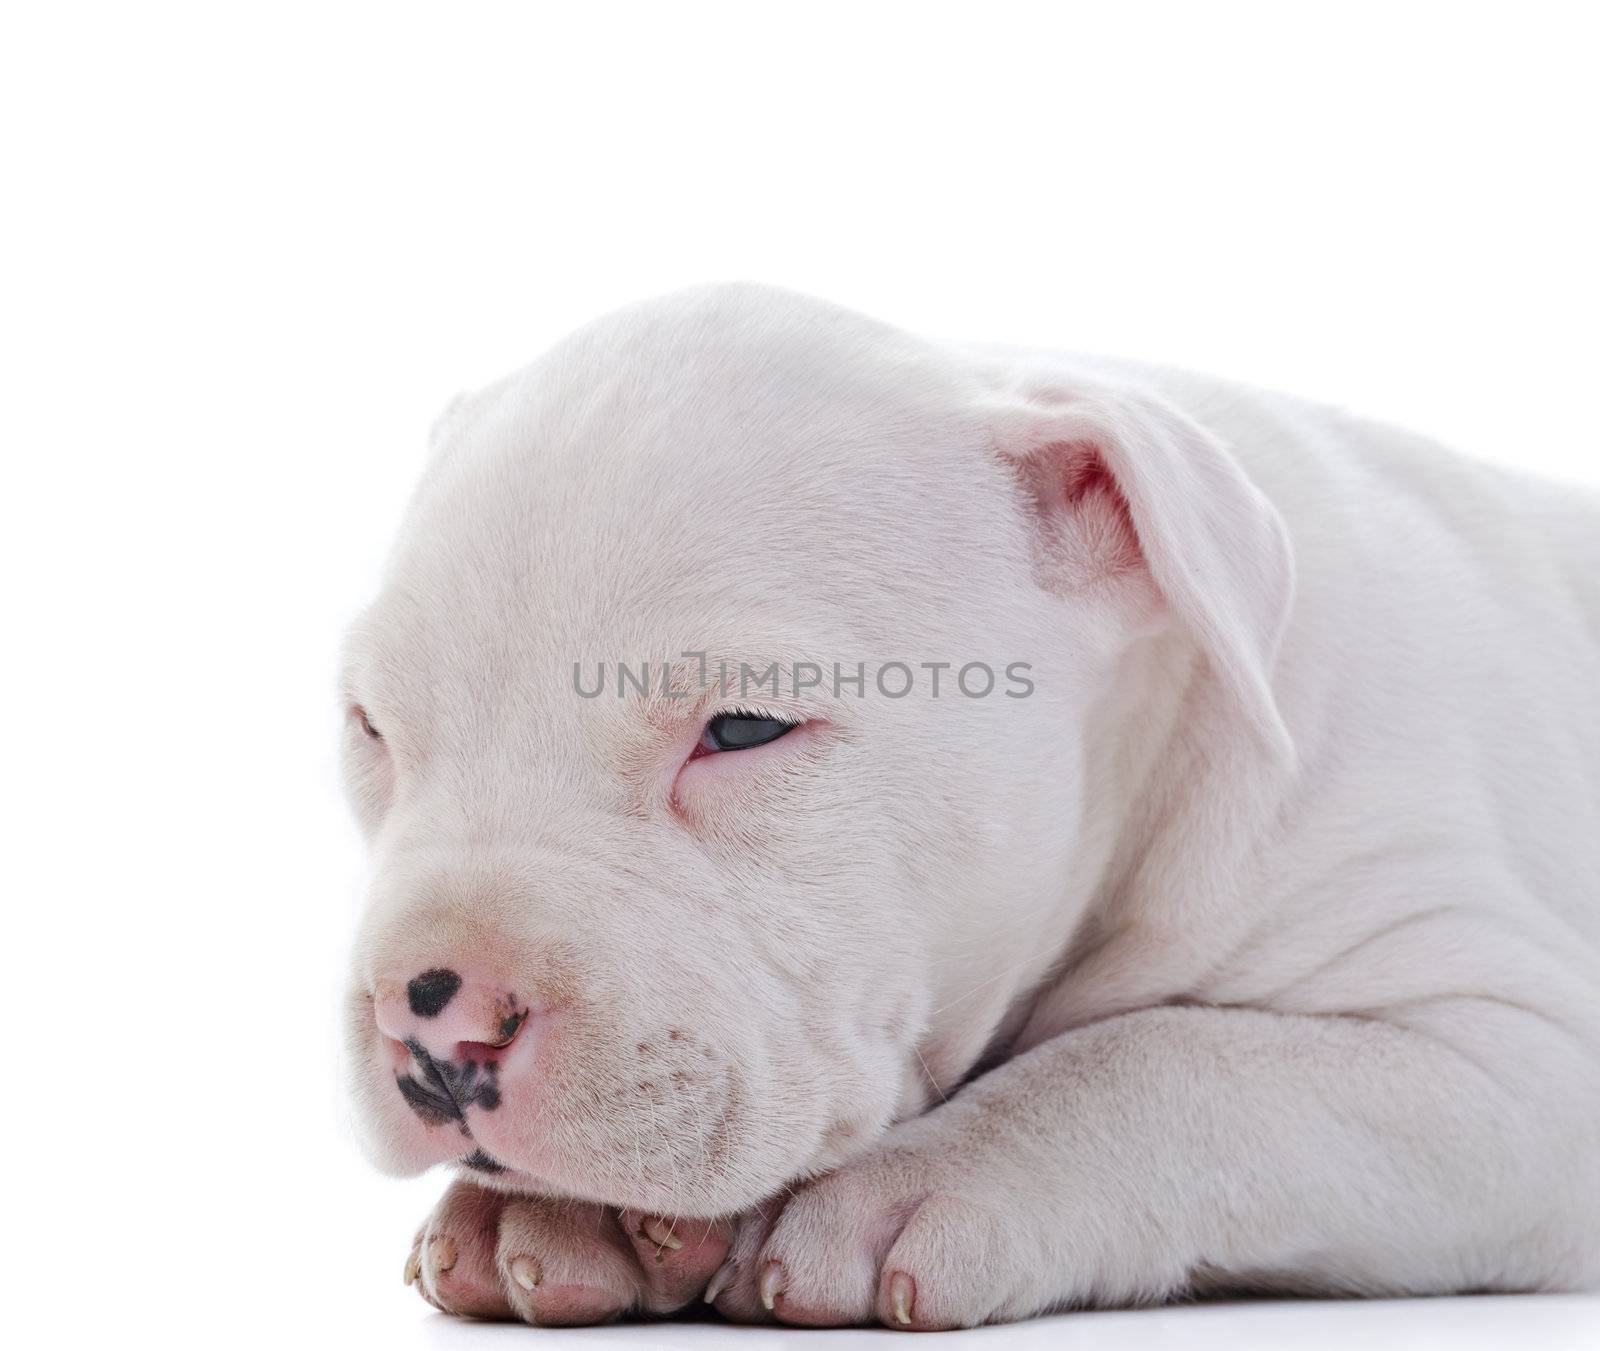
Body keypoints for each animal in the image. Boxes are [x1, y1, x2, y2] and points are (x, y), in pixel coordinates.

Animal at [340, 284, 1600, 1331]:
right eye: (370, 728)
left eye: (743, 729)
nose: (432, 1022)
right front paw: (553, 1212)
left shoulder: (1517, 1055)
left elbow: (1177, 1054)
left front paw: (925, 1182)